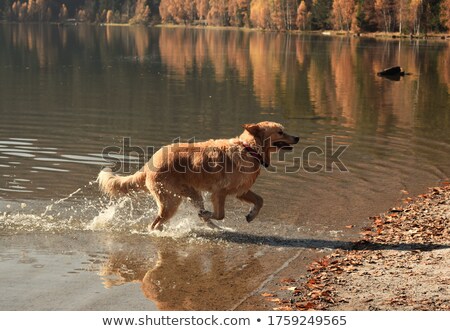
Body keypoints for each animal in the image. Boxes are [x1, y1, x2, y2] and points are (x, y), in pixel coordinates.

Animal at [100, 122, 300, 231]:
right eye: (280, 132)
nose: (297, 137)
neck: (249, 149)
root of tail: (148, 164)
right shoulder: (219, 192)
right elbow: (220, 213)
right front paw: (214, 214)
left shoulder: (241, 190)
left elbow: (260, 200)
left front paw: (251, 215)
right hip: (171, 200)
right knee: (155, 224)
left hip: (192, 194)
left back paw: (216, 227)